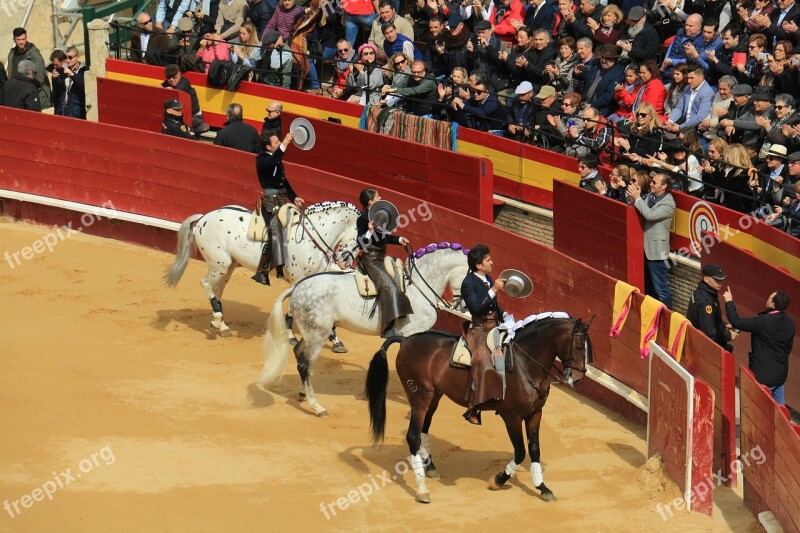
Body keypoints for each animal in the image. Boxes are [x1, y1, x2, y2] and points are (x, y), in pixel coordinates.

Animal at [166, 202, 360, 338]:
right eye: (361, 239)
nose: (345, 262)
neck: (311, 236)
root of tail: (204, 217)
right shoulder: (297, 280)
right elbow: (292, 306)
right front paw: (290, 335)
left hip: (228, 266)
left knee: (218, 289)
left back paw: (222, 326)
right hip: (219, 264)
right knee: (205, 283)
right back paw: (216, 322)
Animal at [258, 242, 468, 416]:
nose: (465, 307)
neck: (417, 286)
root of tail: (297, 288)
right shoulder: (411, 333)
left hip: (312, 332)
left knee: (300, 355)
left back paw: (303, 392)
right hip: (317, 335)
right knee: (305, 364)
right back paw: (316, 406)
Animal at [366, 316, 592, 502]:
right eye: (579, 346)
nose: (578, 380)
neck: (526, 364)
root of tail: (406, 341)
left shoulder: (535, 414)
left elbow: (535, 450)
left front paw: (543, 488)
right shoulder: (512, 417)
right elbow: (520, 452)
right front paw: (499, 480)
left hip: (434, 396)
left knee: (423, 430)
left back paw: (430, 467)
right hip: (420, 396)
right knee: (413, 435)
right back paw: (422, 490)